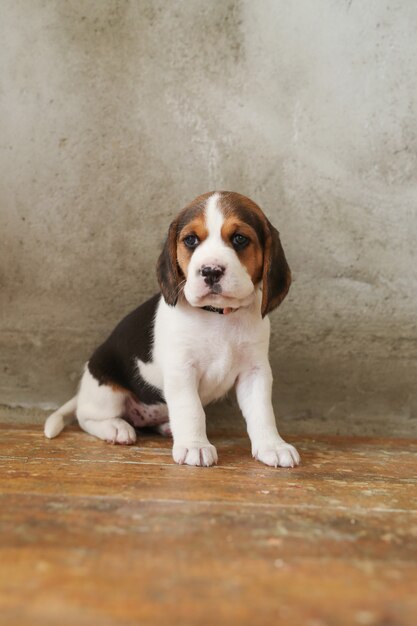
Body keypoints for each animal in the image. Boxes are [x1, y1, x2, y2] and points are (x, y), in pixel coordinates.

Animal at [44, 190, 300, 468]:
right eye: (190, 240)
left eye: (240, 239)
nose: (210, 271)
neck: (218, 315)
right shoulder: (182, 370)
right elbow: (191, 410)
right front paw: (195, 446)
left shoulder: (255, 372)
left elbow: (262, 412)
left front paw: (272, 446)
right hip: (107, 391)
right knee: (86, 417)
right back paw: (116, 428)